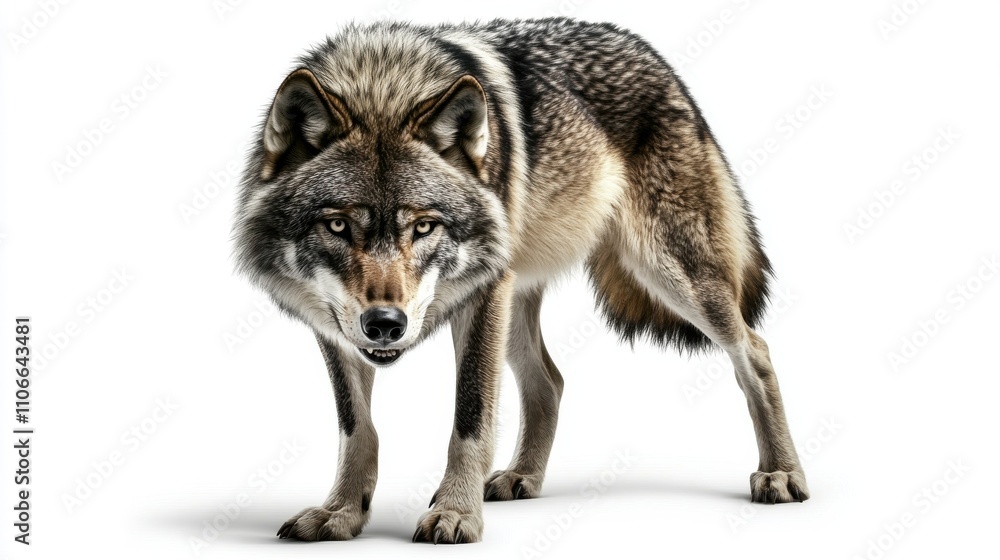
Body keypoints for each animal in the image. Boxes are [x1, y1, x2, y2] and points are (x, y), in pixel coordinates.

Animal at [232, 17, 808, 544]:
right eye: (337, 225)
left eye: (424, 227)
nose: (386, 325)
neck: (383, 83)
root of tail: (652, 55)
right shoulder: (337, 327)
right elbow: (357, 429)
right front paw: (341, 513)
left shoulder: (482, 297)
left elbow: (470, 418)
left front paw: (456, 514)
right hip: (518, 303)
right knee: (549, 381)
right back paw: (522, 476)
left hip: (670, 276)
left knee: (754, 351)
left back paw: (781, 472)